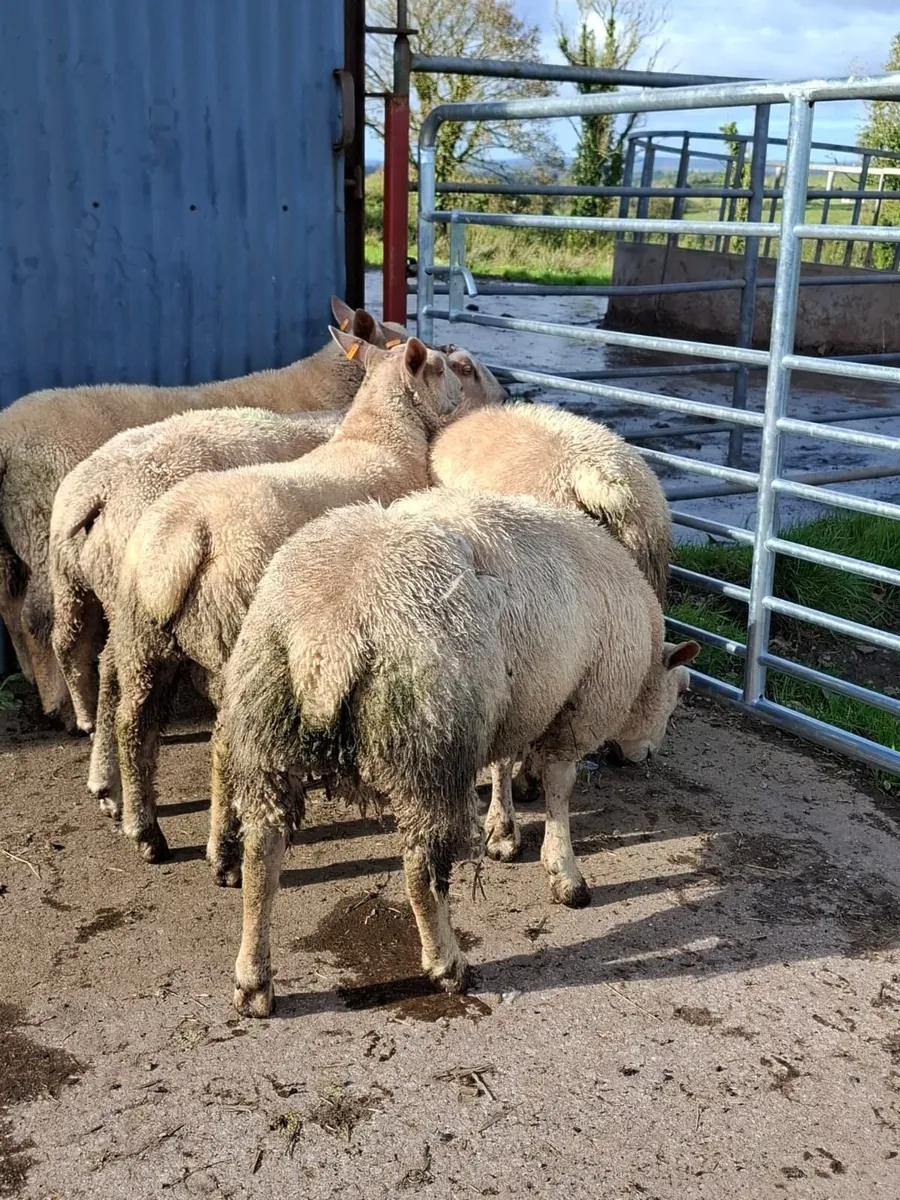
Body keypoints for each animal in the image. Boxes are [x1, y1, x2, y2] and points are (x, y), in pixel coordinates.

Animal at [110, 332, 469, 863]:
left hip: (141, 636)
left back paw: (146, 832)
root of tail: (186, 534)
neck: (378, 434)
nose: (461, 397)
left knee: (133, 723)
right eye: (440, 367)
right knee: (224, 744)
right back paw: (223, 849)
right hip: (233, 633)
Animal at [209, 488, 699, 1017]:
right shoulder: (580, 706)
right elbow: (560, 788)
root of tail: (328, 636)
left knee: (262, 858)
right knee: (421, 871)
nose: (642, 757)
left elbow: (503, 764)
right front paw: (564, 873)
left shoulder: (513, 701)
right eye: (678, 694)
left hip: (266, 725)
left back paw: (253, 982)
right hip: (430, 747)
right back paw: (448, 964)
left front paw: (503, 830)